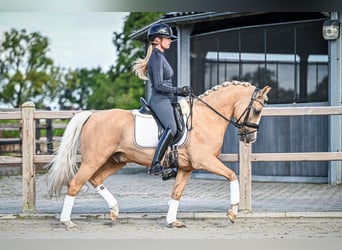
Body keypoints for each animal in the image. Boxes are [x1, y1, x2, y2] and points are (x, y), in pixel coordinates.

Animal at [46, 80, 270, 229]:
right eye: (257, 110)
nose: (250, 138)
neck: (206, 117)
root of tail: (92, 116)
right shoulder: (205, 161)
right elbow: (232, 176)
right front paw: (233, 212)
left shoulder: (187, 167)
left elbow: (176, 193)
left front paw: (172, 221)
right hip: (94, 160)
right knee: (75, 183)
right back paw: (67, 221)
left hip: (116, 160)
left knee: (96, 179)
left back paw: (114, 211)